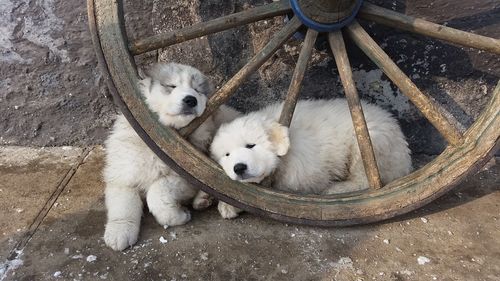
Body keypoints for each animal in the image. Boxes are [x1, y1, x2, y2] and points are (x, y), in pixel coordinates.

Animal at [102, 63, 239, 249]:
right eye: (171, 86)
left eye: (197, 90)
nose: (191, 100)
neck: (160, 141)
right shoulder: (124, 173)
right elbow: (123, 203)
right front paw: (119, 232)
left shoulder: (188, 177)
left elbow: (157, 192)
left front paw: (178, 216)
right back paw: (204, 199)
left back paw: (226, 206)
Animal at [209, 99, 412, 219]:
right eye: (227, 155)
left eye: (250, 145)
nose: (239, 168)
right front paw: (228, 204)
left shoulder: (308, 172)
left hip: (366, 146)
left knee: (363, 180)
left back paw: (335, 190)